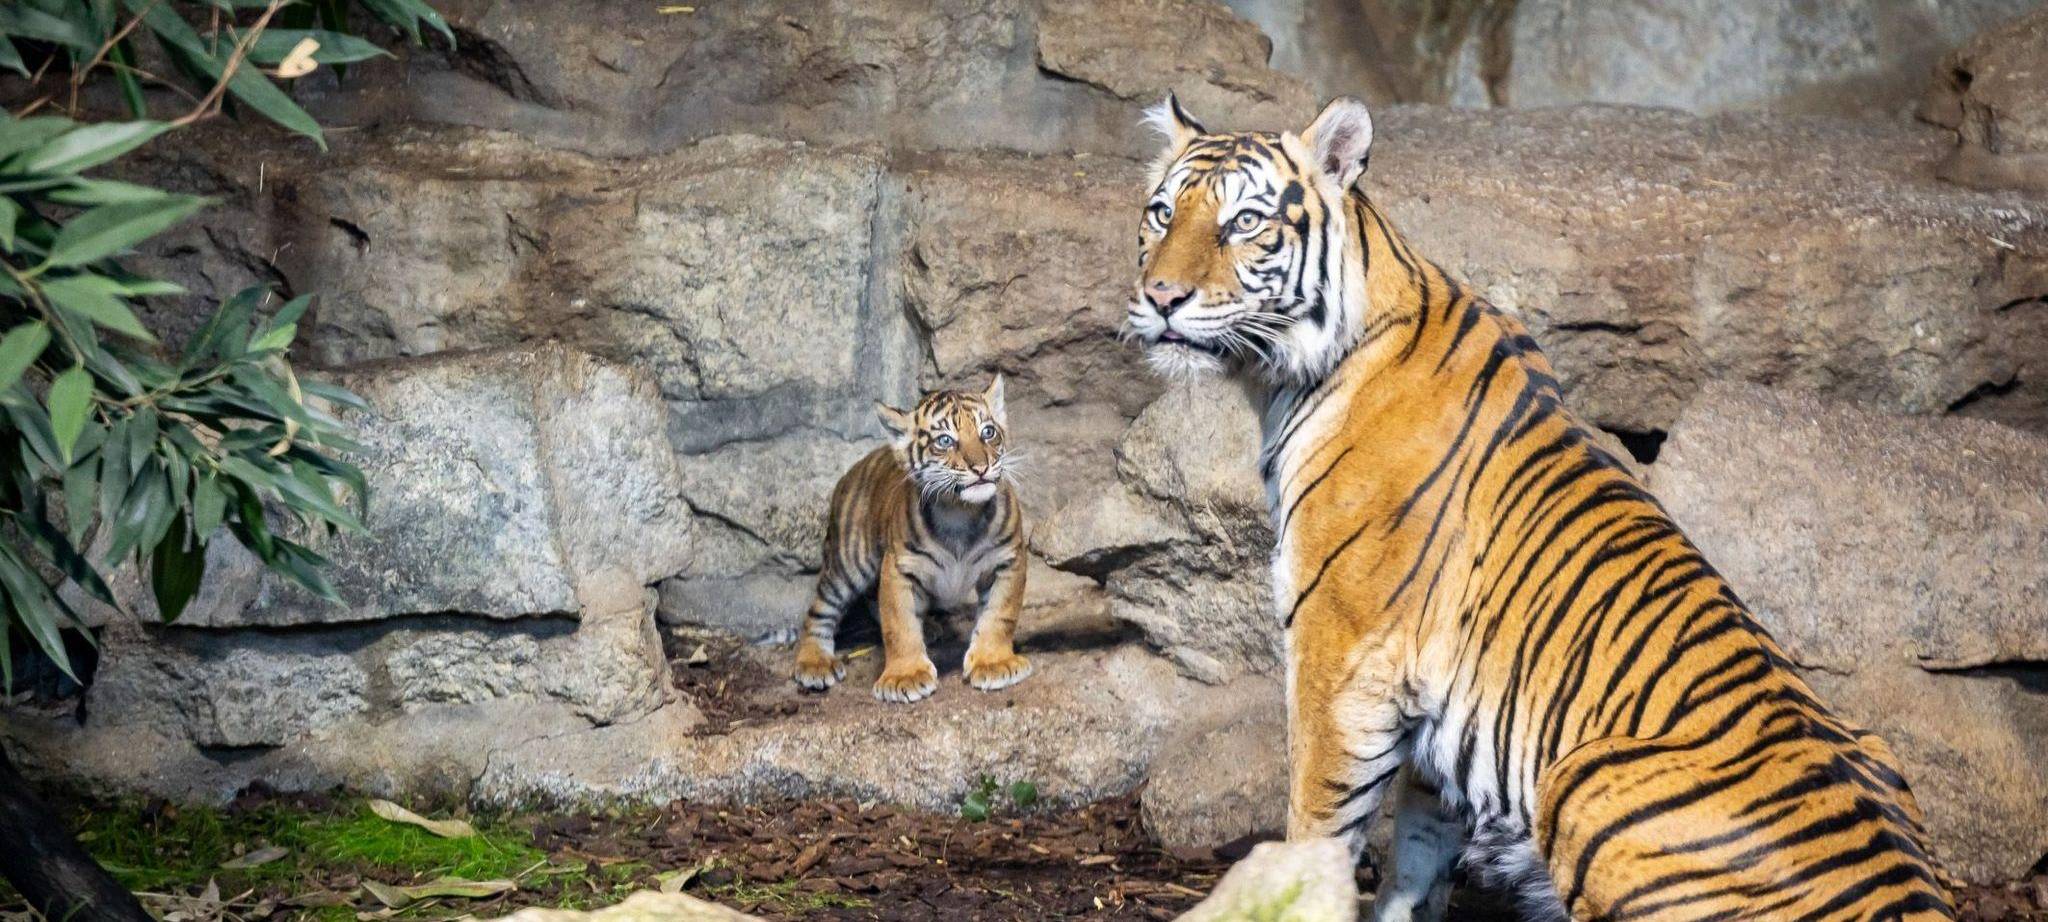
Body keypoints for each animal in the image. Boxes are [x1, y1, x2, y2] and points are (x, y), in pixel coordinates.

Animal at [791, 375, 1033, 703]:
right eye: (945, 440)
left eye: (988, 432)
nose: (981, 467)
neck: (960, 513)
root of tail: (855, 467)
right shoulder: (898, 567)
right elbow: (899, 624)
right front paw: (904, 676)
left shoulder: (1008, 560)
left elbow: (999, 615)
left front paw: (993, 662)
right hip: (848, 563)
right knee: (819, 610)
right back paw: (814, 662)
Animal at [1127, 94, 1953, 921]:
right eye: (1163, 213)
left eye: (1243, 221)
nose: (1162, 298)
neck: (1284, 376)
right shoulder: (1431, 712)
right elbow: (1419, 845)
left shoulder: (1342, 649)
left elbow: (1318, 816)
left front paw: (1288, 893)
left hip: (1582, 776)